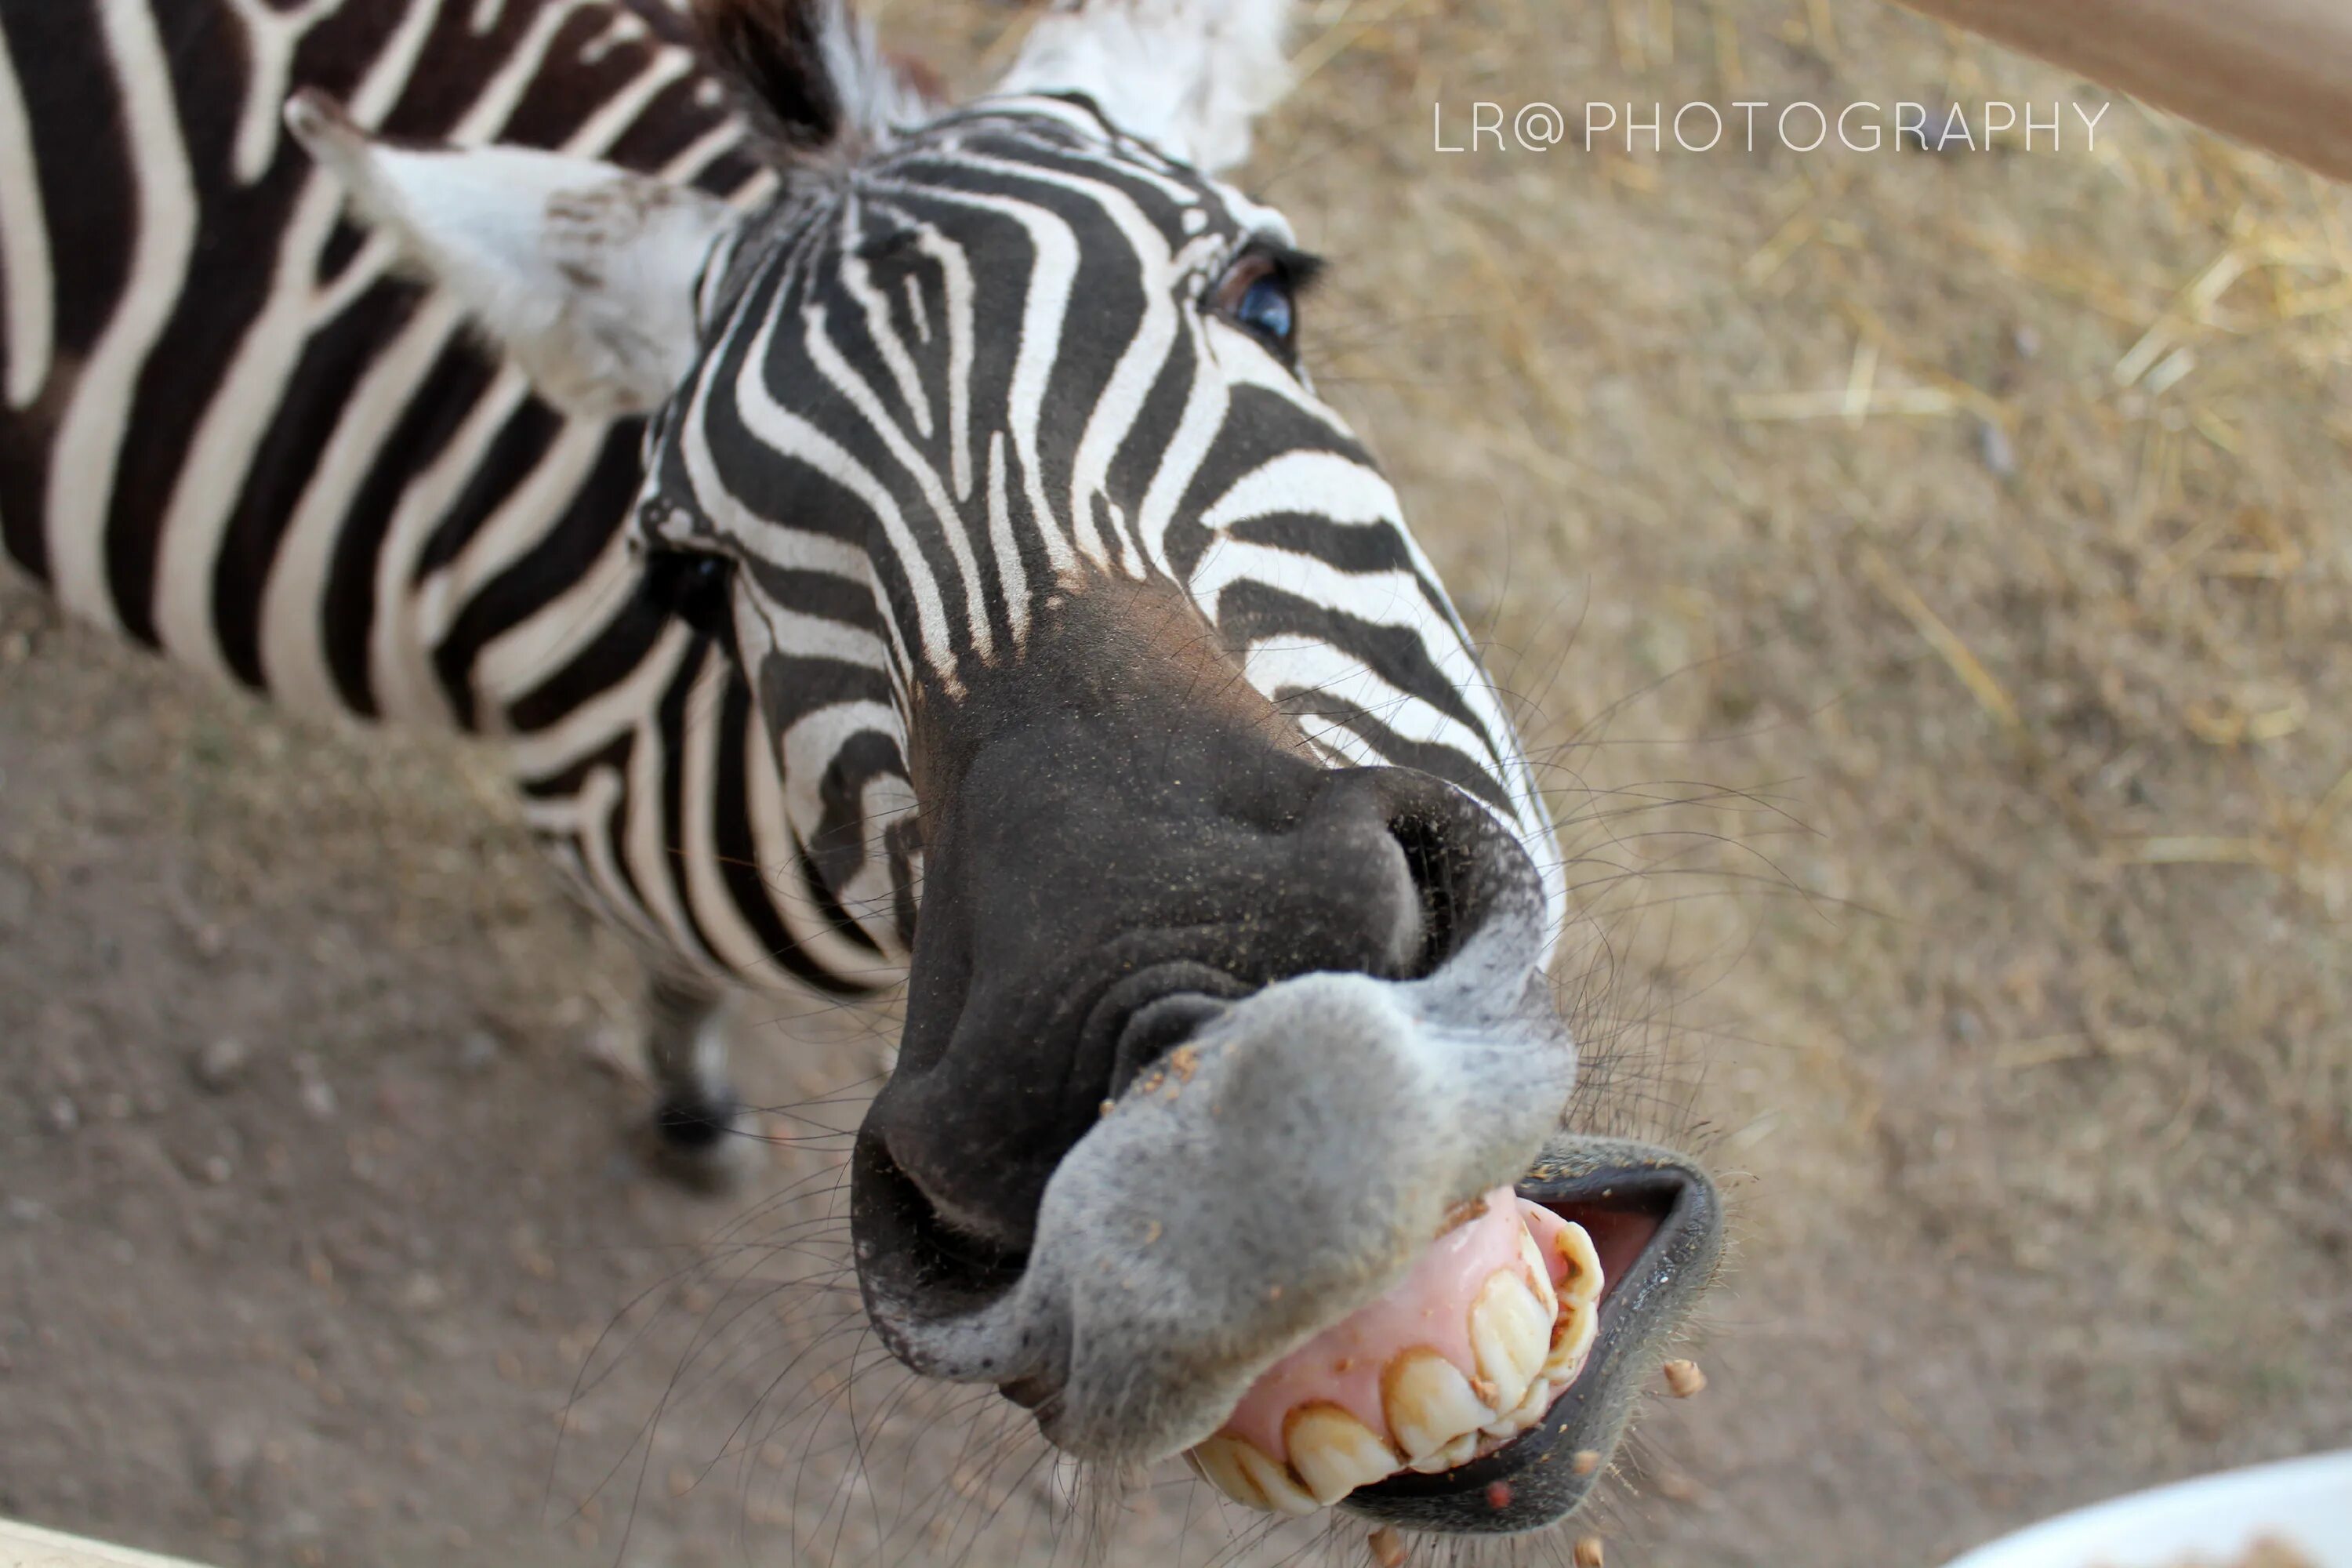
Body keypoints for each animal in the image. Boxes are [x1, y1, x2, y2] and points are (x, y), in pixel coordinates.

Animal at [0, 0, 1731, 1542]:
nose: (1213, 1097)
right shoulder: (597, 827)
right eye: (690, 574)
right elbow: (671, 979)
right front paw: (687, 1106)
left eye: (1268, 299)